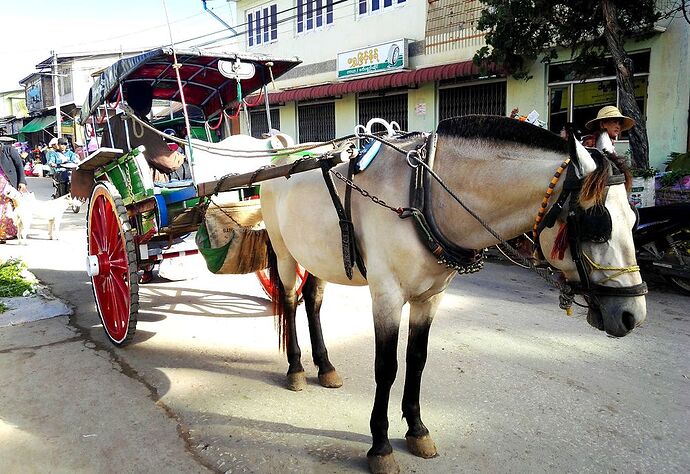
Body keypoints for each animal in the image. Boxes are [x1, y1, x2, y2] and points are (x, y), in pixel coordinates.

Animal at [255, 115, 644, 474]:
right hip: (284, 251)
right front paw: (380, 446)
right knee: (289, 301)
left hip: (318, 256)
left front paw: (417, 430)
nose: (633, 316)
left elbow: (417, 360)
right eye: (597, 225)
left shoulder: (430, 297)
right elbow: (387, 367)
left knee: (313, 301)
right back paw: (295, 368)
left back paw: (325, 366)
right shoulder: (387, 295)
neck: (423, 192)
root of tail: (281, 158)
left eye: (634, 218)